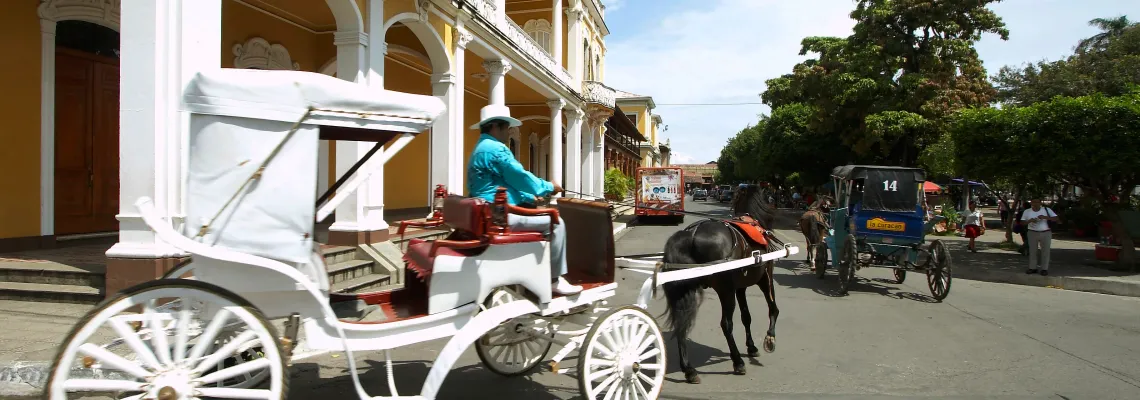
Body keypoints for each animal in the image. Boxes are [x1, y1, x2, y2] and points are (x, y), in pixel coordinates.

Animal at [665, 185, 779, 385]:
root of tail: (691, 234)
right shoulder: (765, 277)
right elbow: (772, 308)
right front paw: (769, 338)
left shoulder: (740, 287)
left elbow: (746, 317)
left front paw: (751, 346)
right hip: (726, 290)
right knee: (726, 324)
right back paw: (738, 362)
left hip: (687, 291)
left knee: (681, 323)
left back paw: (689, 370)